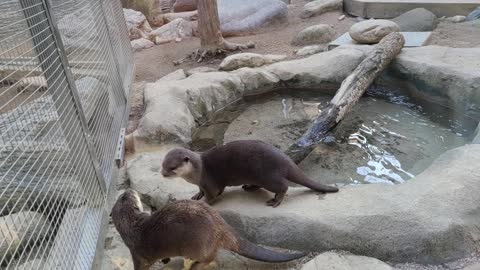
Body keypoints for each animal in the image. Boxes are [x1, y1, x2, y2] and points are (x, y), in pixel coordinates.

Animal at [112, 190, 306, 270]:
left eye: (127, 196)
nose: (130, 188)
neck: (132, 228)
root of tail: (219, 226)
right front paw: (165, 260)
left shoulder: (137, 252)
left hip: (197, 244)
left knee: (211, 257)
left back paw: (195, 265)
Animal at [161, 139, 338, 207]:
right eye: (162, 164)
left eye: (172, 167)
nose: (163, 174)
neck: (198, 170)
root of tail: (285, 159)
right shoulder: (201, 182)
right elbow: (201, 190)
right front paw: (197, 195)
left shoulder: (209, 180)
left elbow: (213, 194)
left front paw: (203, 202)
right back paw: (249, 187)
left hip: (268, 176)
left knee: (284, 186)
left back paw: (275, 201)